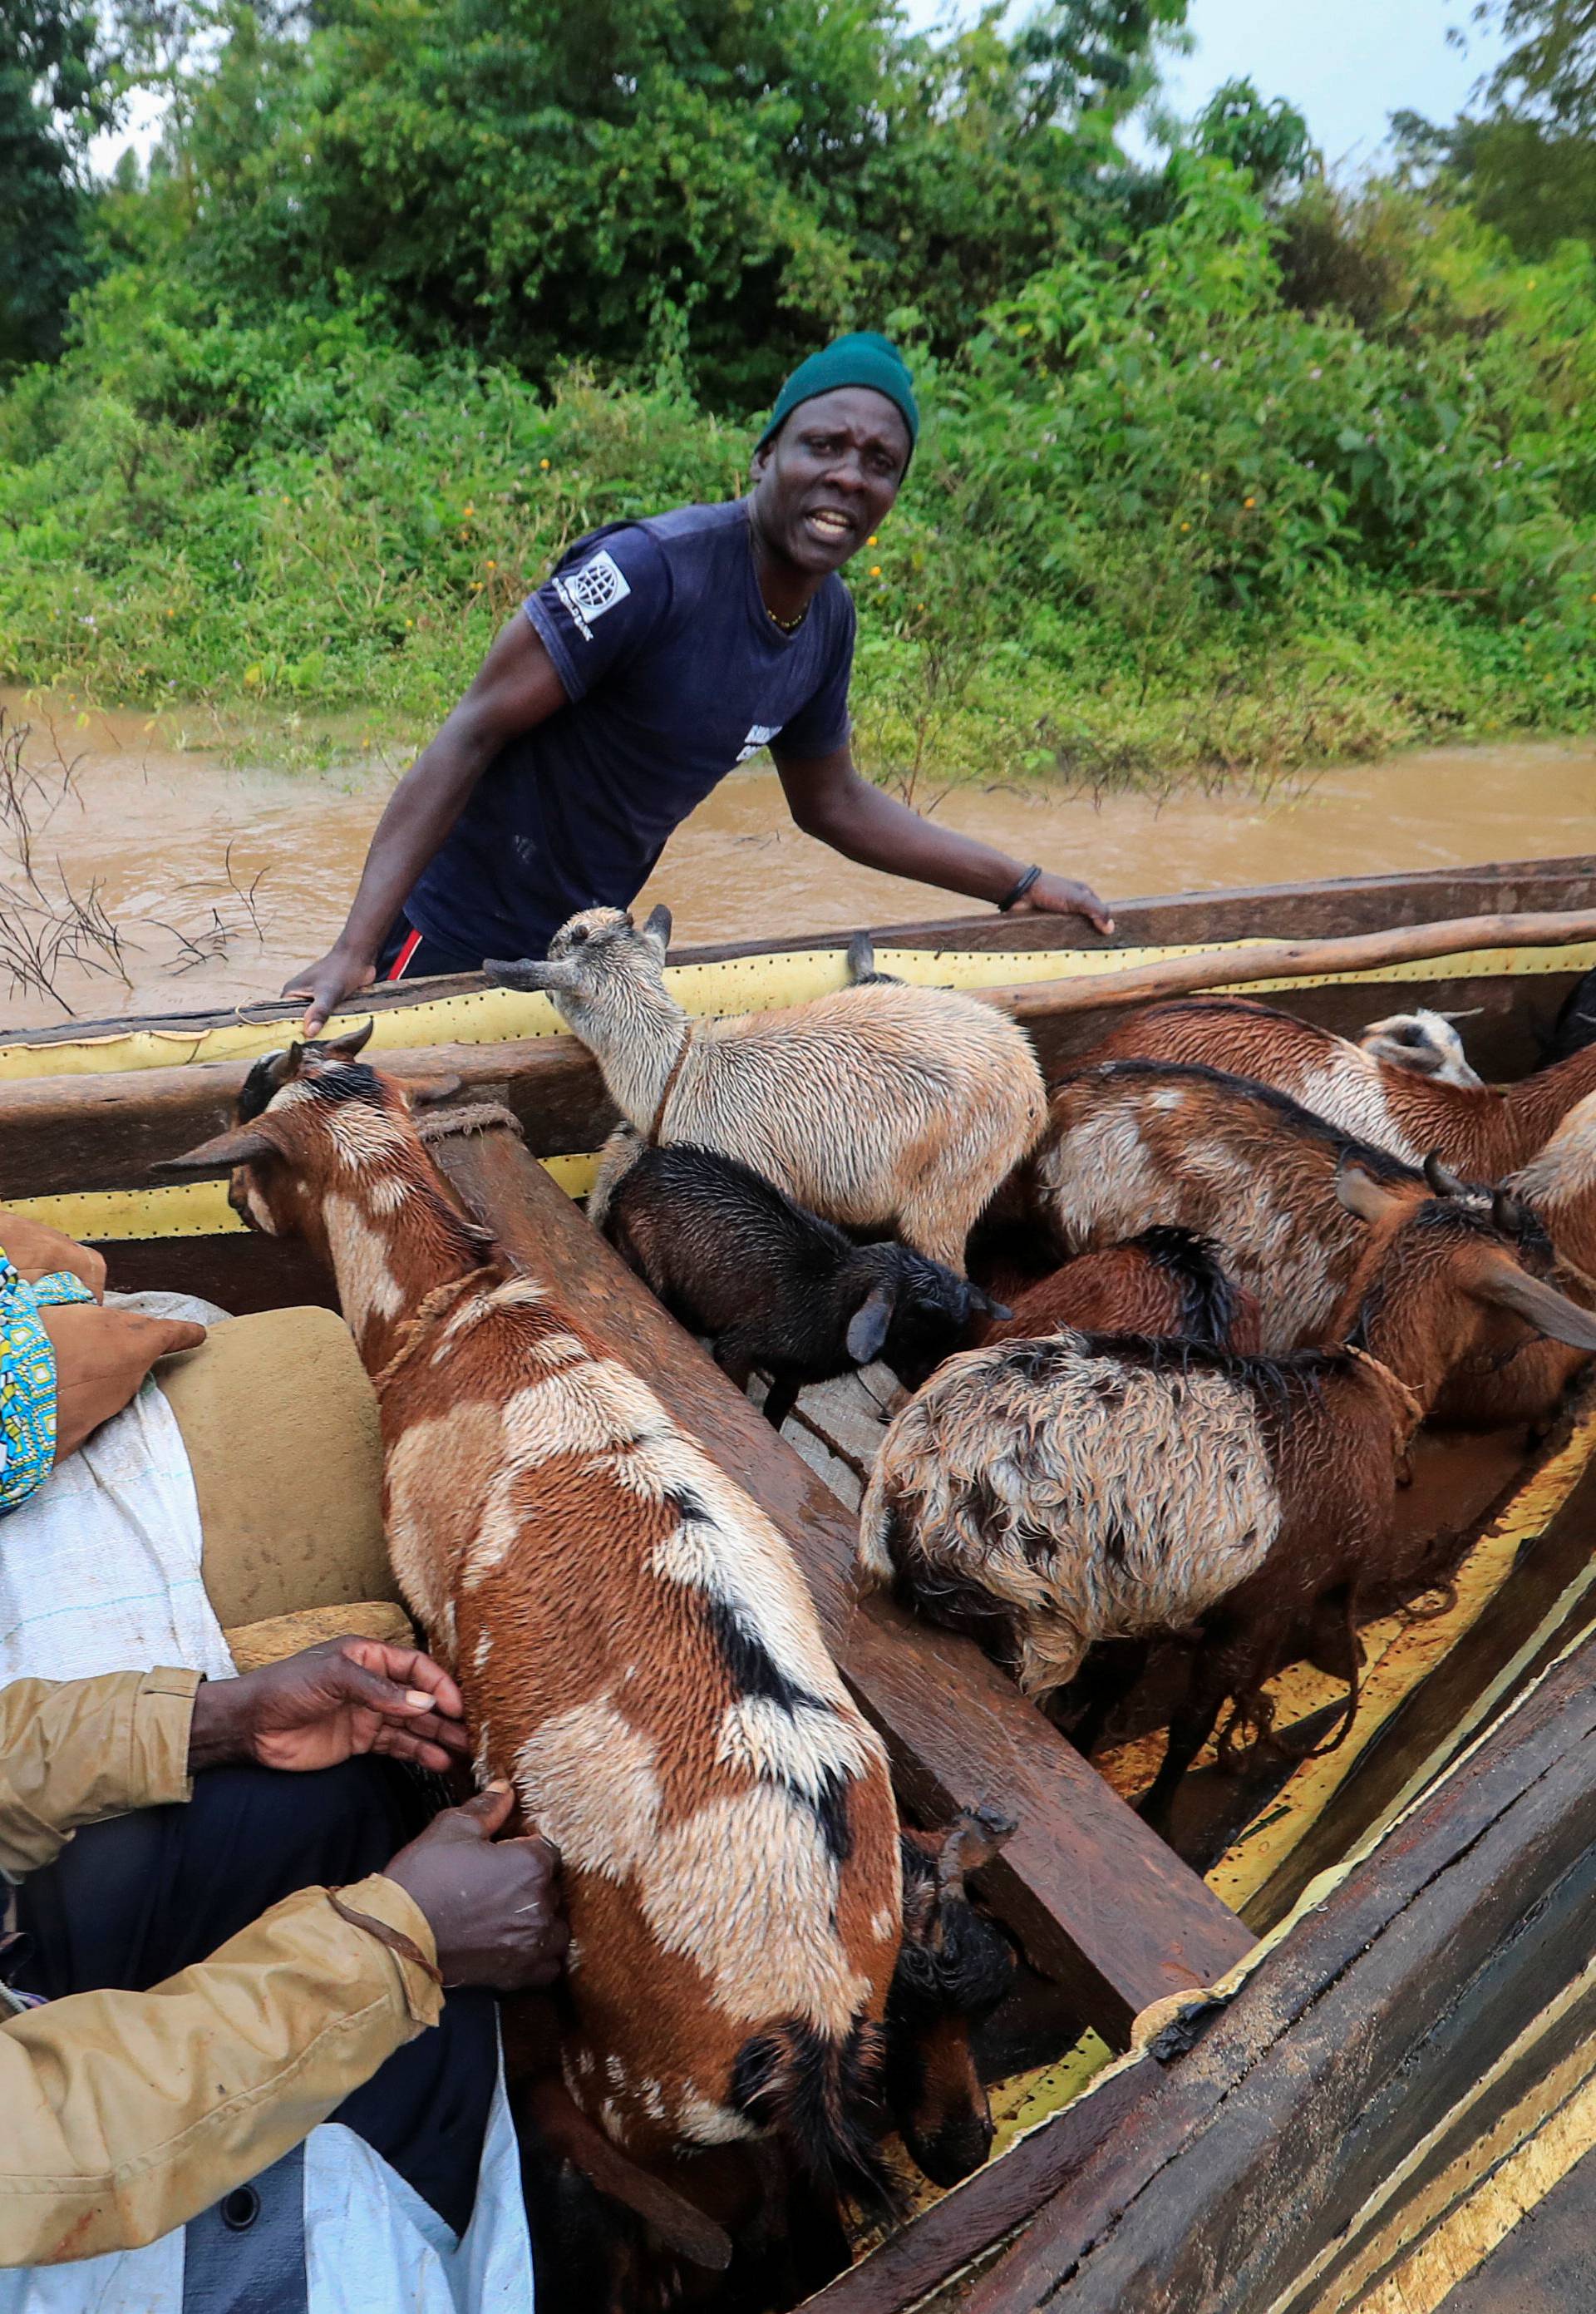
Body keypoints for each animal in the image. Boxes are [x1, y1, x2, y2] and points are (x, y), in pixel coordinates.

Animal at [166, 1036, 925, 2221]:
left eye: (253, 1127)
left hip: (634, 2077)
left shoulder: (428, 1599)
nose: (231, 1201)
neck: (457, 1320)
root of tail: (808, 2016)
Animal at [601, 1142, 999, 1425]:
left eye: (955, 1334)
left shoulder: (795, 1374)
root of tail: (636, 1172)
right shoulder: (741, 1346)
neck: (828, 1298)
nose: (927, 1388)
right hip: (646, 1255)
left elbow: (779, 1408)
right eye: (918, 1320)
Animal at [855, 1166, 1591, 1833]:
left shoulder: (1156, 1595)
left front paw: (1092, 1746)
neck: (1356, 1385)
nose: (1562, 1366)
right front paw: (1157, 1813)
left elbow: (1123, 1678)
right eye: (1533, 1266)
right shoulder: (1264, 1605)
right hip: (1026, 1620)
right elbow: (1192, 1721)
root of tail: (907, 1480)